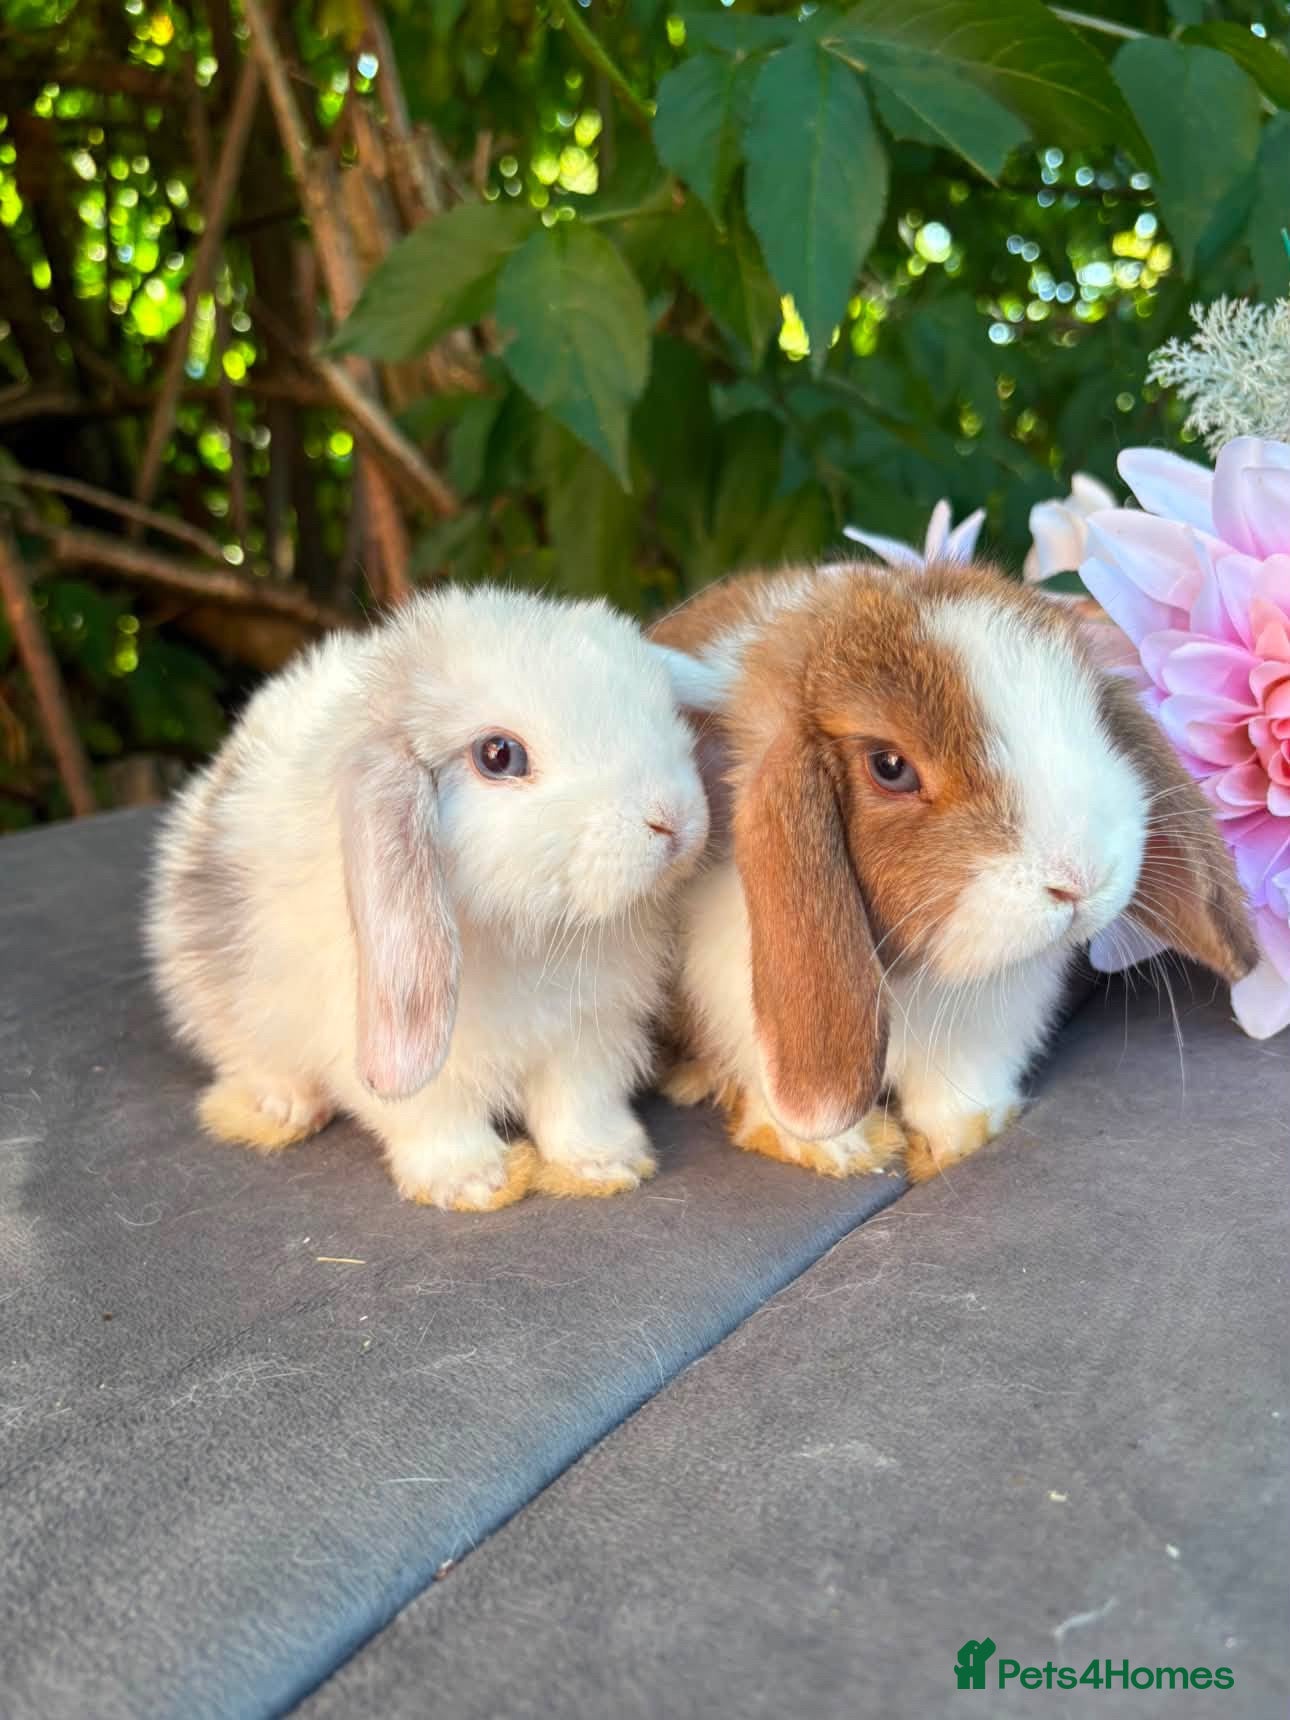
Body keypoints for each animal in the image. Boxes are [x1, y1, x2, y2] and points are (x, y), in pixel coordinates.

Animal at [148, 584, 728, 1211]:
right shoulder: (407, 1058)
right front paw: (474, 1182)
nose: (673, 819)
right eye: (499, 755)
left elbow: (579, 1103)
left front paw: (604, 1165)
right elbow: (433, 1118)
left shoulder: (587, 1035)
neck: (531, 936)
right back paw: (287, 1104)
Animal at [649, 559, 1259, 1184]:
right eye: (890, 767)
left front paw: (961, 1139)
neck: (917, 977)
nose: (1080, 878)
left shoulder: (983, 1032)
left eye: (1093, 716)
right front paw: (849, 1152)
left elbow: (961, 1093)